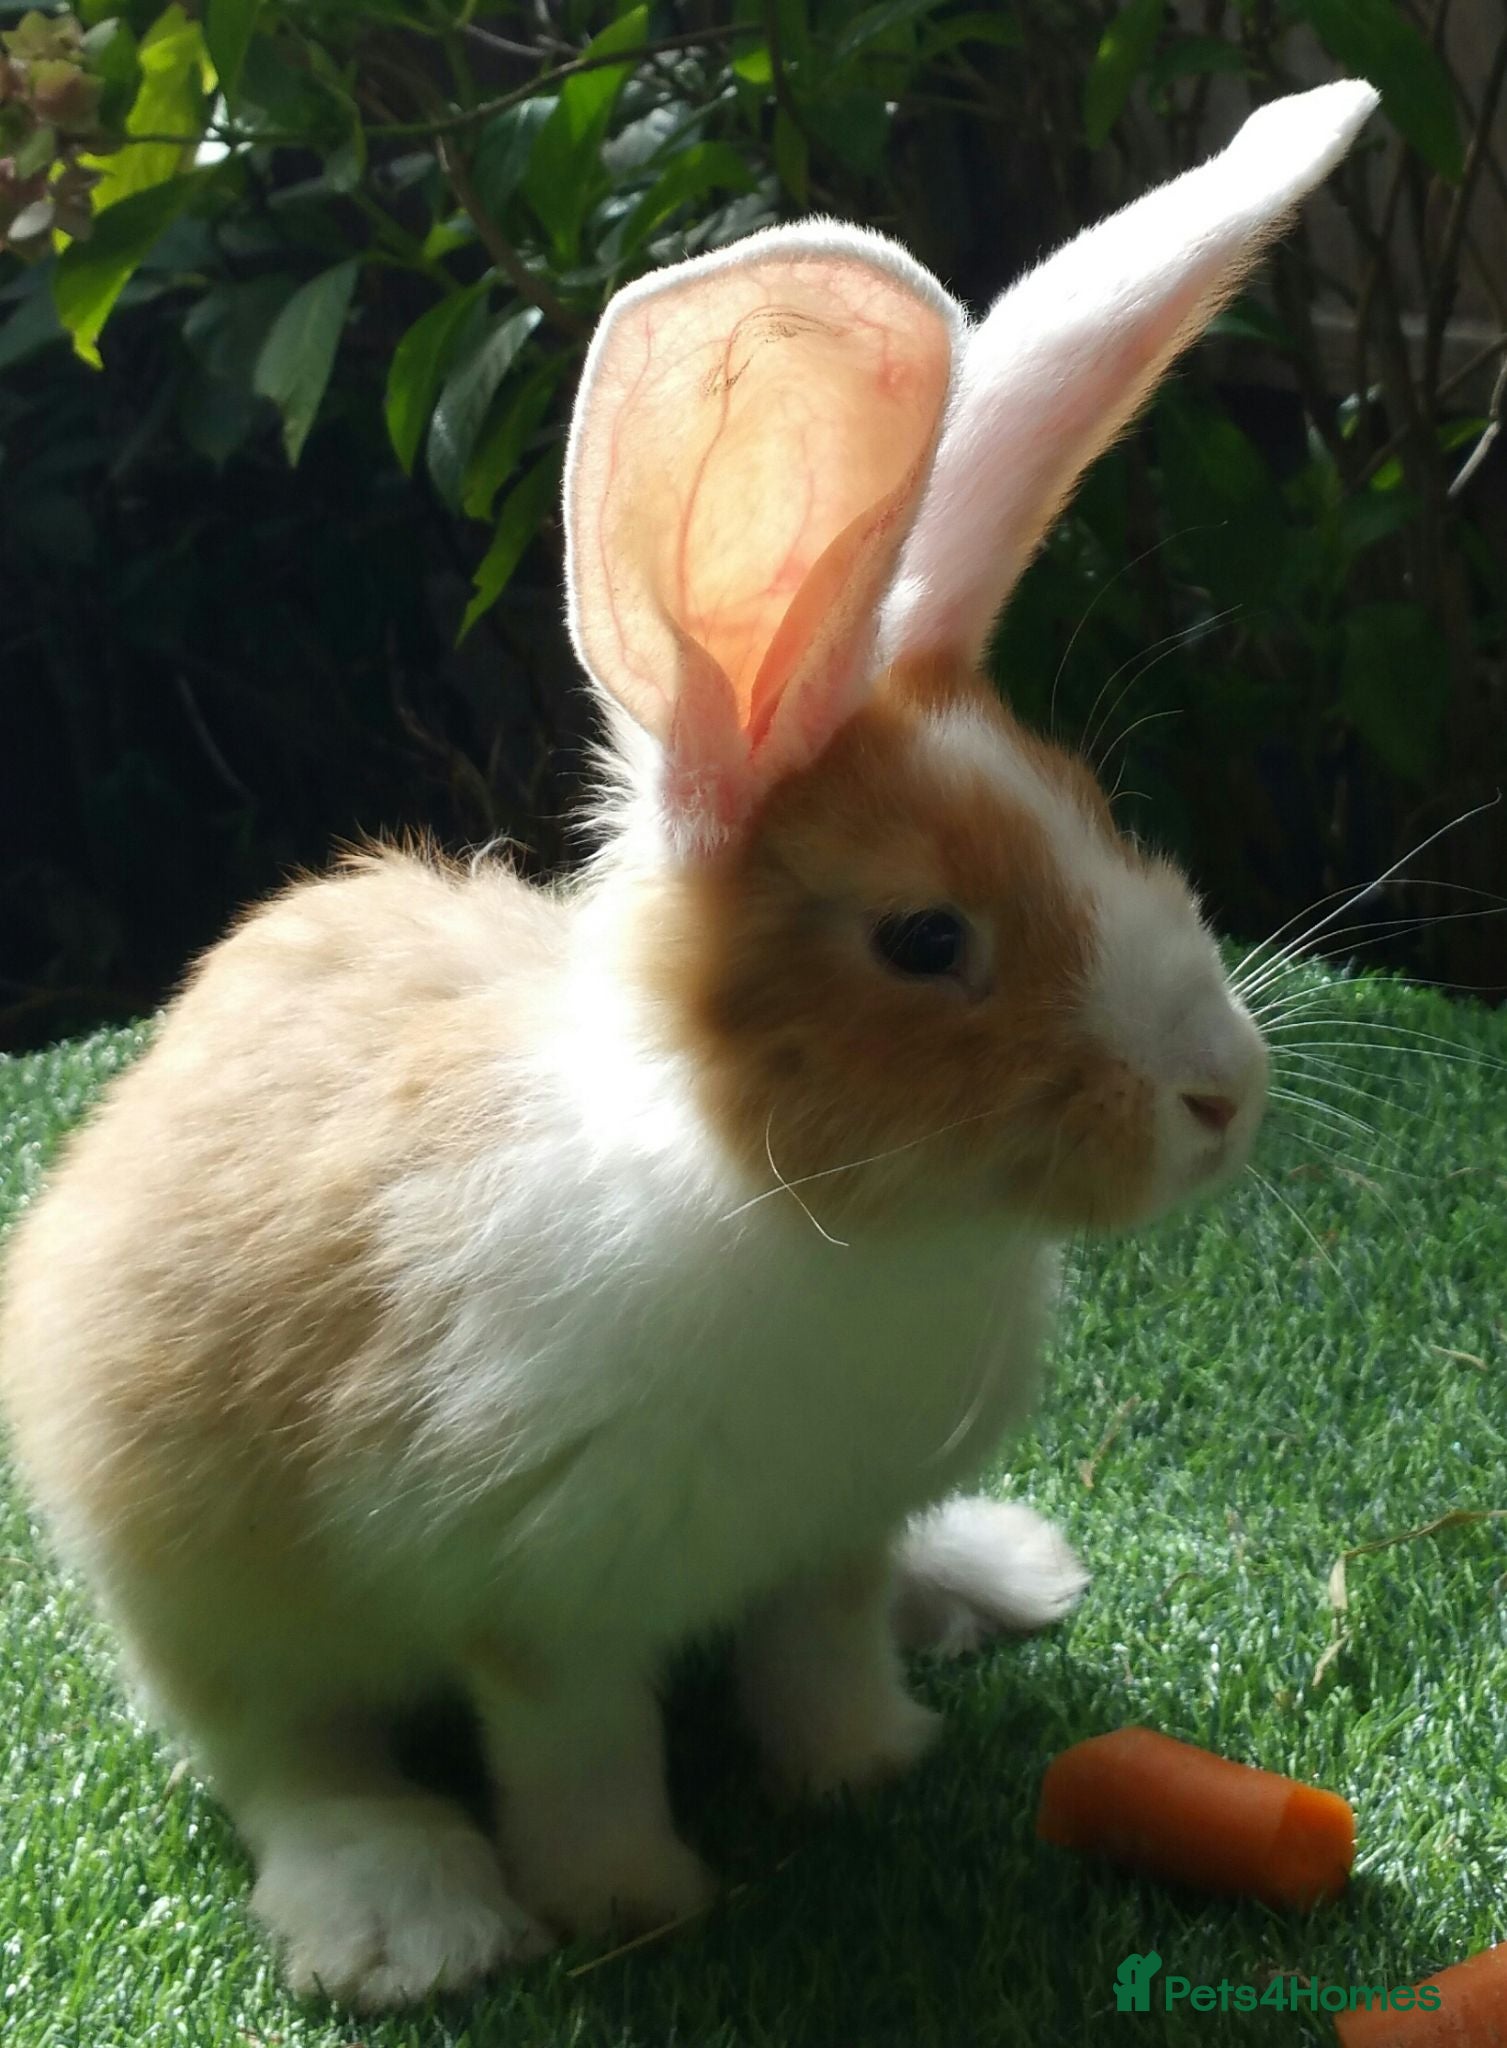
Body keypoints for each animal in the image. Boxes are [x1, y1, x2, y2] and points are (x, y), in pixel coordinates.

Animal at [0, 80, 1377, 2011]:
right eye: (924, 939)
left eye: (1096, 815)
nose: (1222, 1096)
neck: (840, 1226)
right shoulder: (539, 1602)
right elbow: (579, 1759)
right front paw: (632, 1906)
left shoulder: (830, 1533)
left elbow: (820, 1656)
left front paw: (866, 1770)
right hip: (195, 1579)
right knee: (286, 1756)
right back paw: (407, 1917)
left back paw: (993, 1577)